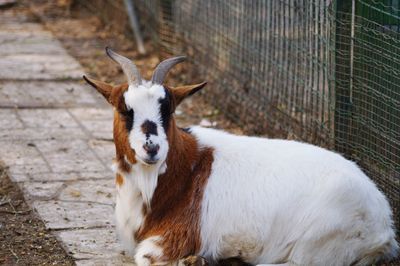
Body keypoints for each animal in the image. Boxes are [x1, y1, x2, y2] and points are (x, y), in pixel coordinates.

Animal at [83, 48, 398, 266]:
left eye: (168, 109)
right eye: (125, 109)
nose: (152, 148)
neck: (185, 171)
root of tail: (383, 225)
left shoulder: (172, 238)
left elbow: (145, 256)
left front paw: (196, 259)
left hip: (316, 241)